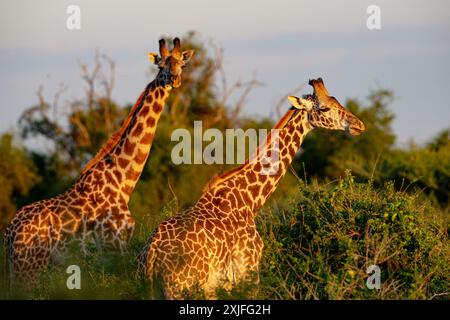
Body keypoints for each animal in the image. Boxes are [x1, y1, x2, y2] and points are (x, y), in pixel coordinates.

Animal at [3, 37, 193, 284]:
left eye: (182, 65)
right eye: (161, 66)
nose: (175, 79)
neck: (122, 181)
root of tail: (9, 235)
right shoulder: (114, 245)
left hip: (16, 271)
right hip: (29, 270)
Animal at [138, 78, 366, 300]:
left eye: (337, 101)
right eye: (325, 108)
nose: (359, 125)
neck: (248, 201)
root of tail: (152, 253)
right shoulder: (248, 272)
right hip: (184, 289)